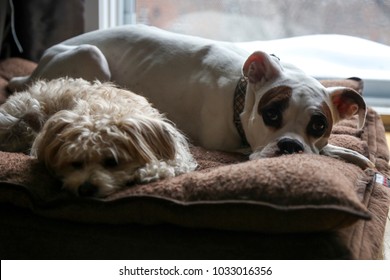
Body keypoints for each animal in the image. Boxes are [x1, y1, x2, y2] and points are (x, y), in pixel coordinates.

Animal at [0, 77, 197, 198]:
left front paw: (154, 171)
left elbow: (175, 163)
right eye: (76, 163)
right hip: (22, 112)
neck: (106, 110)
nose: (86, 189)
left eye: (112, 162)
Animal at [6, 24, 372, 167]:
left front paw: (349, 154)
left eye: (318, 126)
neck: (240, 94)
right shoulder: (224, 144)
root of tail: (39, 65)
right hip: (91, 55)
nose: (291, 147)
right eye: (271, 115)